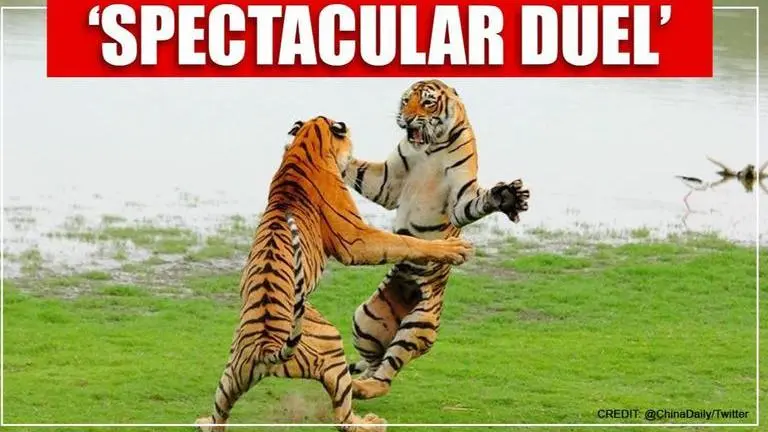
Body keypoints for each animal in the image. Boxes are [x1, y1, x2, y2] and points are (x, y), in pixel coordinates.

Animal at [194, 116, 474, 432]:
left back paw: (203, 421)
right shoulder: (357, 239)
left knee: (219, 415)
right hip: (332, 347)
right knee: (344, 417)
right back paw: (372, 422)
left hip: (231, 376)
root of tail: (269, 349)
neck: (304, 146)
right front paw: (454, 248)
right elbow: (405, 242)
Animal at [341, 79, 531, 400]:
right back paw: (358, 381)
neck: (429, 148)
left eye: (427, 103)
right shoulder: (387, 182)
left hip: (417, 324)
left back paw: (363, 388)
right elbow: (362, 171)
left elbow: (474, 204)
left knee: (386, 373)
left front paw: (506, 196)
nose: (406, 119)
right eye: (405, 101)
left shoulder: (460, 196)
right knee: (374, 362)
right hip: (366, 317)